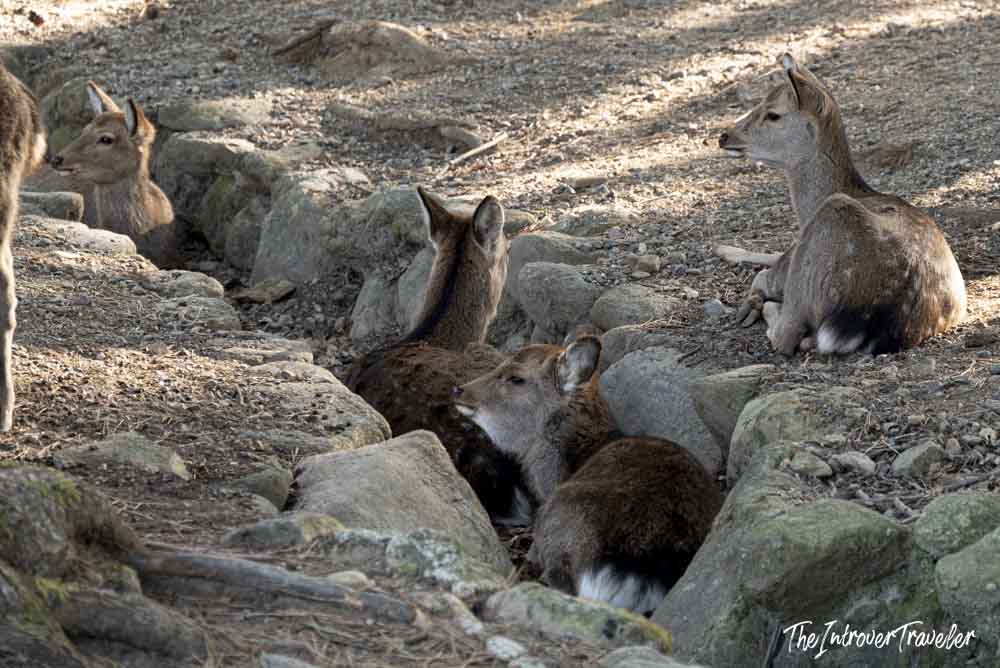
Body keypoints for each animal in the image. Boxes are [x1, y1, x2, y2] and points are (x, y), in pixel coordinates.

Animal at [718, 54, 966, 355]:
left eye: (773, 113)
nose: (724, 136)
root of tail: (878, 319)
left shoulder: (789, 262)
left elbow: (762, 275)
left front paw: (749, 301)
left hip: (819, 247)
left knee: (786, 334)